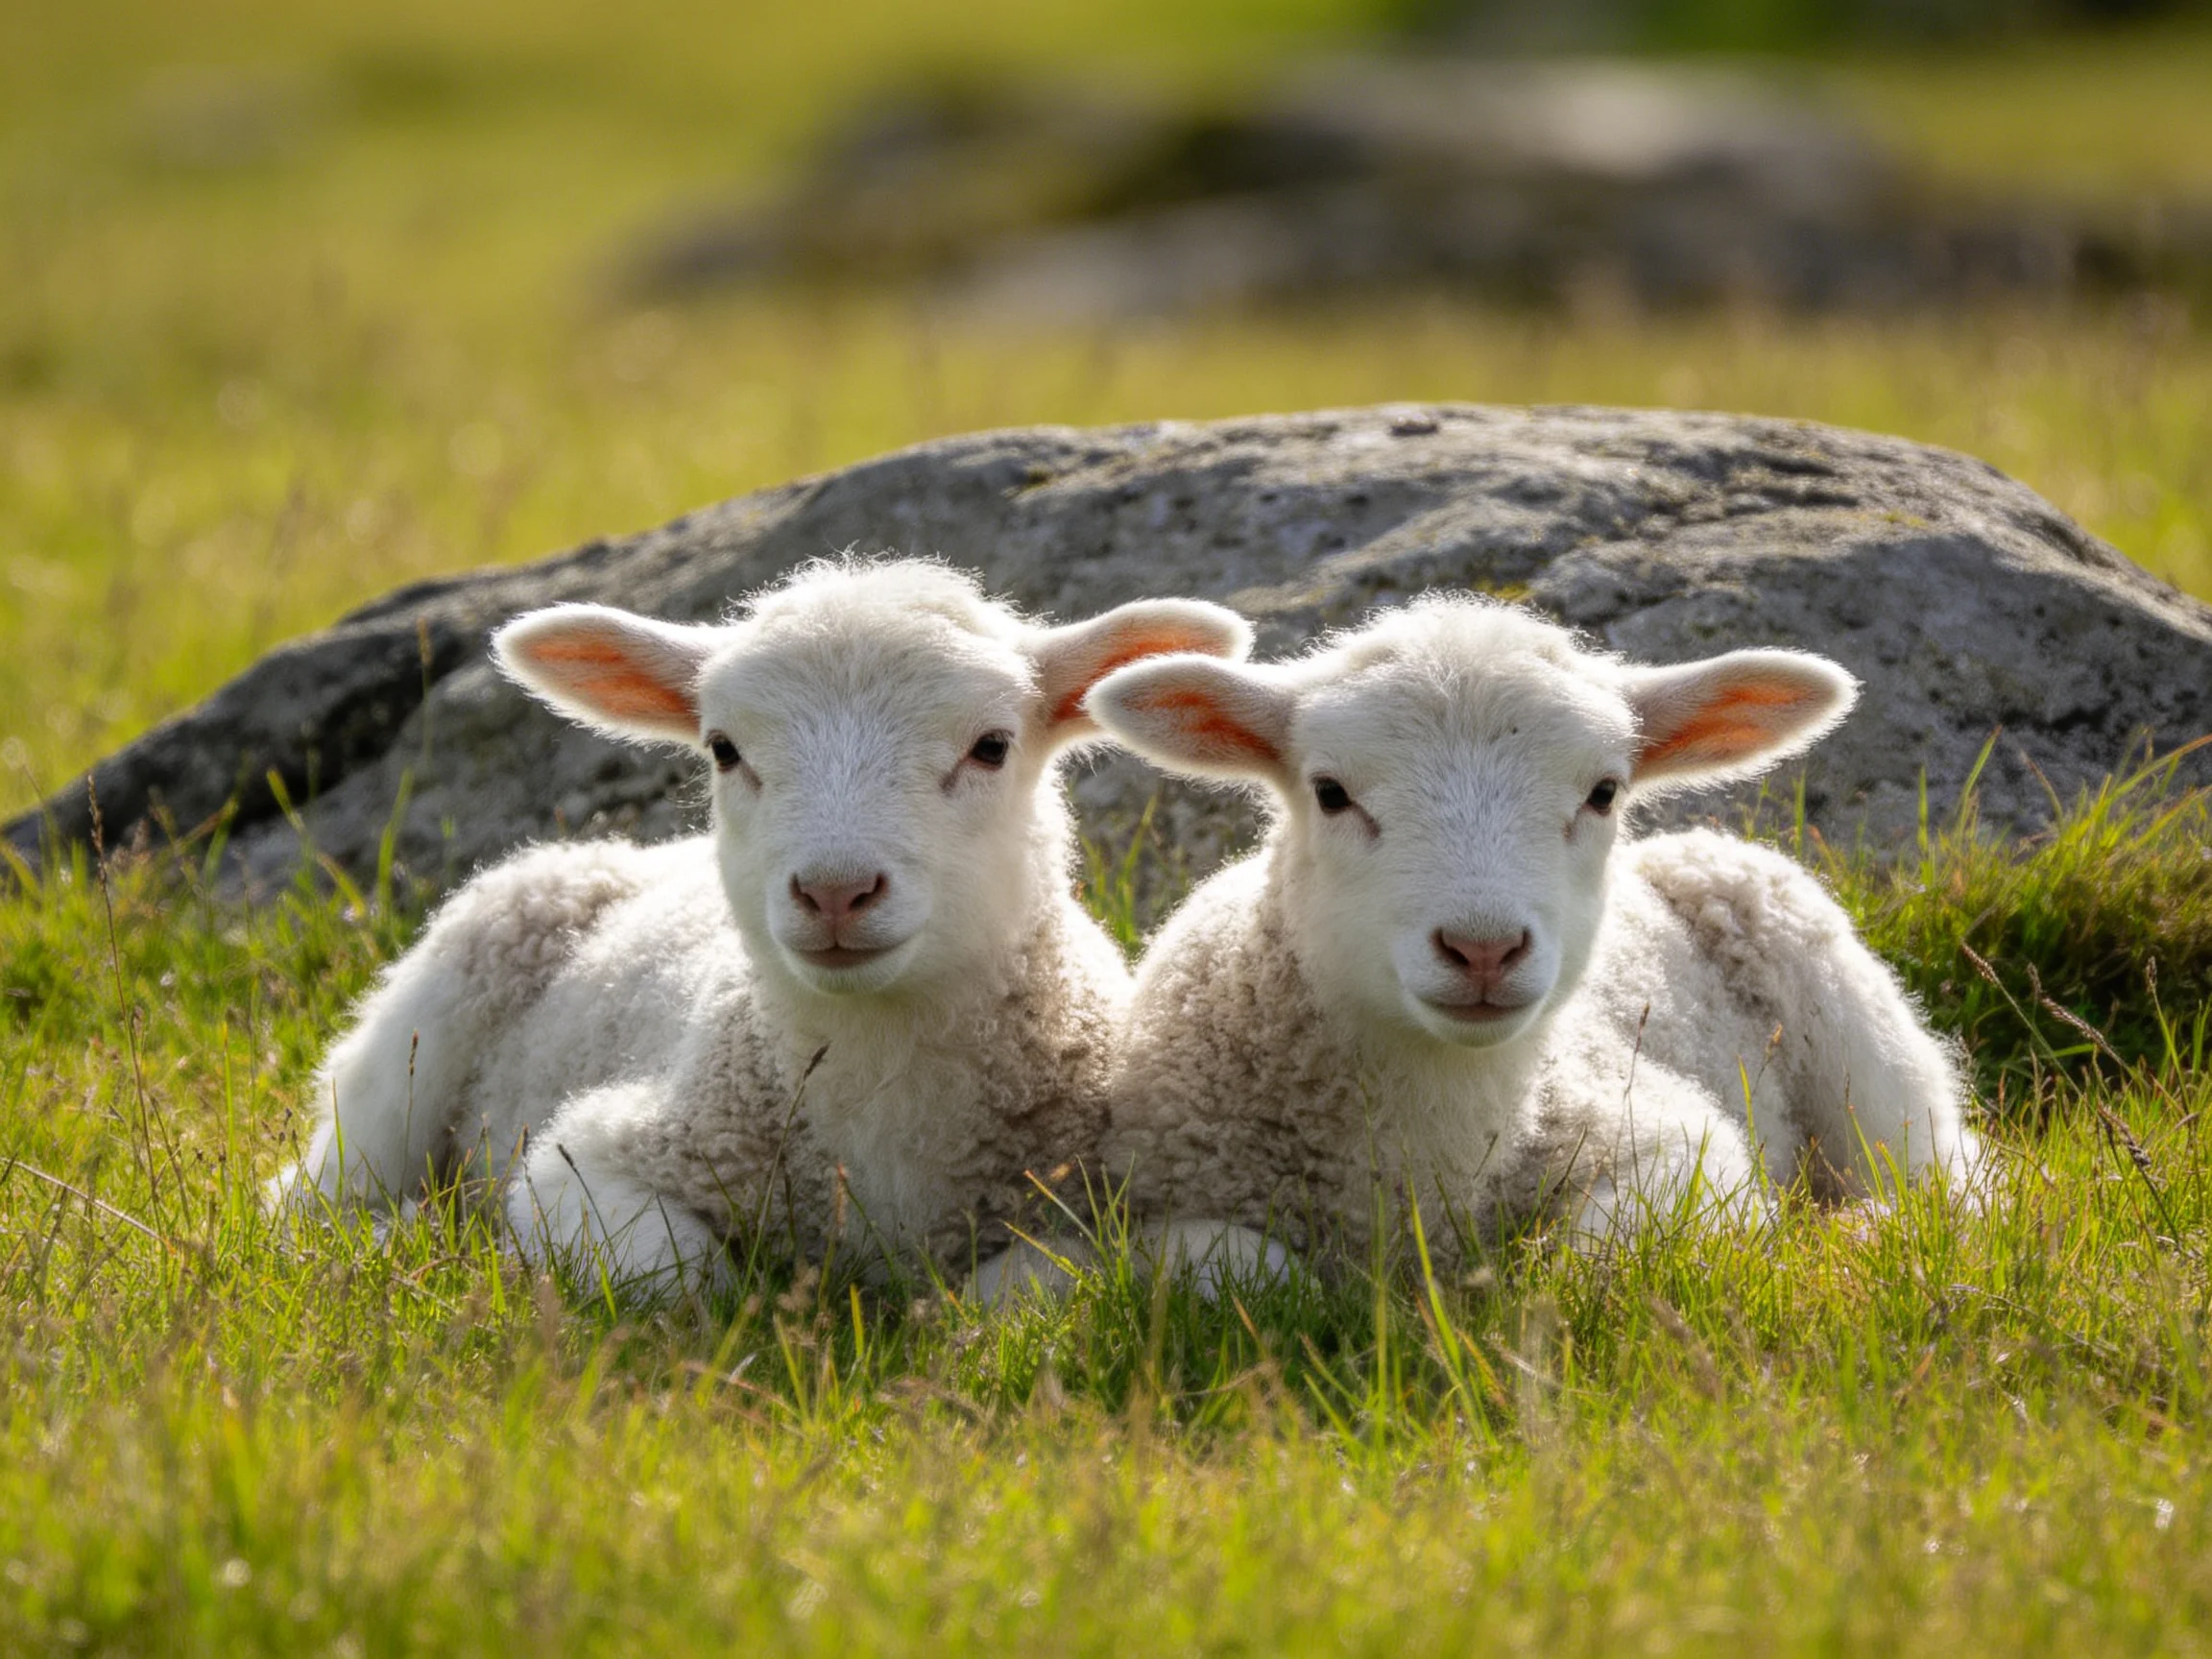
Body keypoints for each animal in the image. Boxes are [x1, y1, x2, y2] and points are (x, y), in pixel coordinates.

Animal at [268, 558, 1252, 1299]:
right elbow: (680, 1281)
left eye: (991, 747)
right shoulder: (592, 1156)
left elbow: (1039, 1286)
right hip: (422, 1036)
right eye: (724, 749)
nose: (835, 892)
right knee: (314, 1191)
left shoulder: (1088, 1193)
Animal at [1078, 593, 1982, 1281]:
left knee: (1950, 1183)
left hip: (1863, 1057)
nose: (1483, 950)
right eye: (1330, 793)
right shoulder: (1158, 1201)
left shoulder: (1675, 1148)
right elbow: (1236, 1273)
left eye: (1604, 792)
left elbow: (1588, 1261)